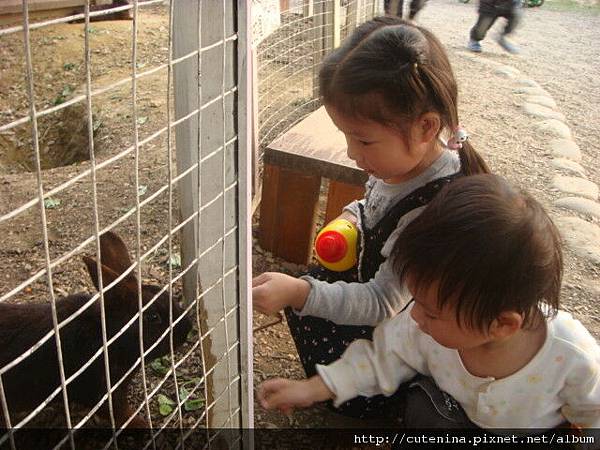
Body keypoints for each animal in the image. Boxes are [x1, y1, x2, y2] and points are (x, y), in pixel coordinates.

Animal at [0, 232, 191, 428]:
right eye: (153, 317)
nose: (188, 329)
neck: (107, 336)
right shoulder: (105, 392)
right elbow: (120, 413)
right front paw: (142, 425)